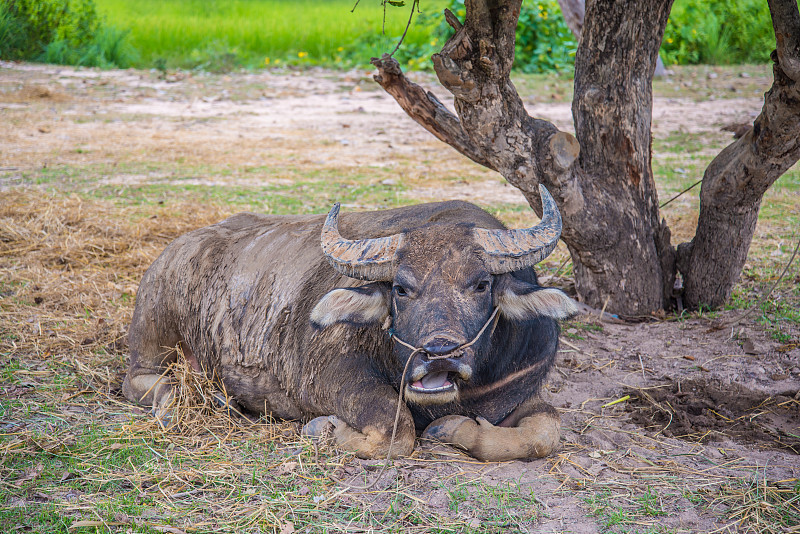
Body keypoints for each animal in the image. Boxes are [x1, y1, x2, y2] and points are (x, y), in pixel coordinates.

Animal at [122, 185, 576, 460]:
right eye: (401, 289)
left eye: (481, 284)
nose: (439, 353)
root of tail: (176, 248)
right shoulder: (327, 374)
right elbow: (395, 429)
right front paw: (322, 428)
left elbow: (545, 431)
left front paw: (451, 430)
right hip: (152, 332)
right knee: (139, 380)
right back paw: (178, 400)